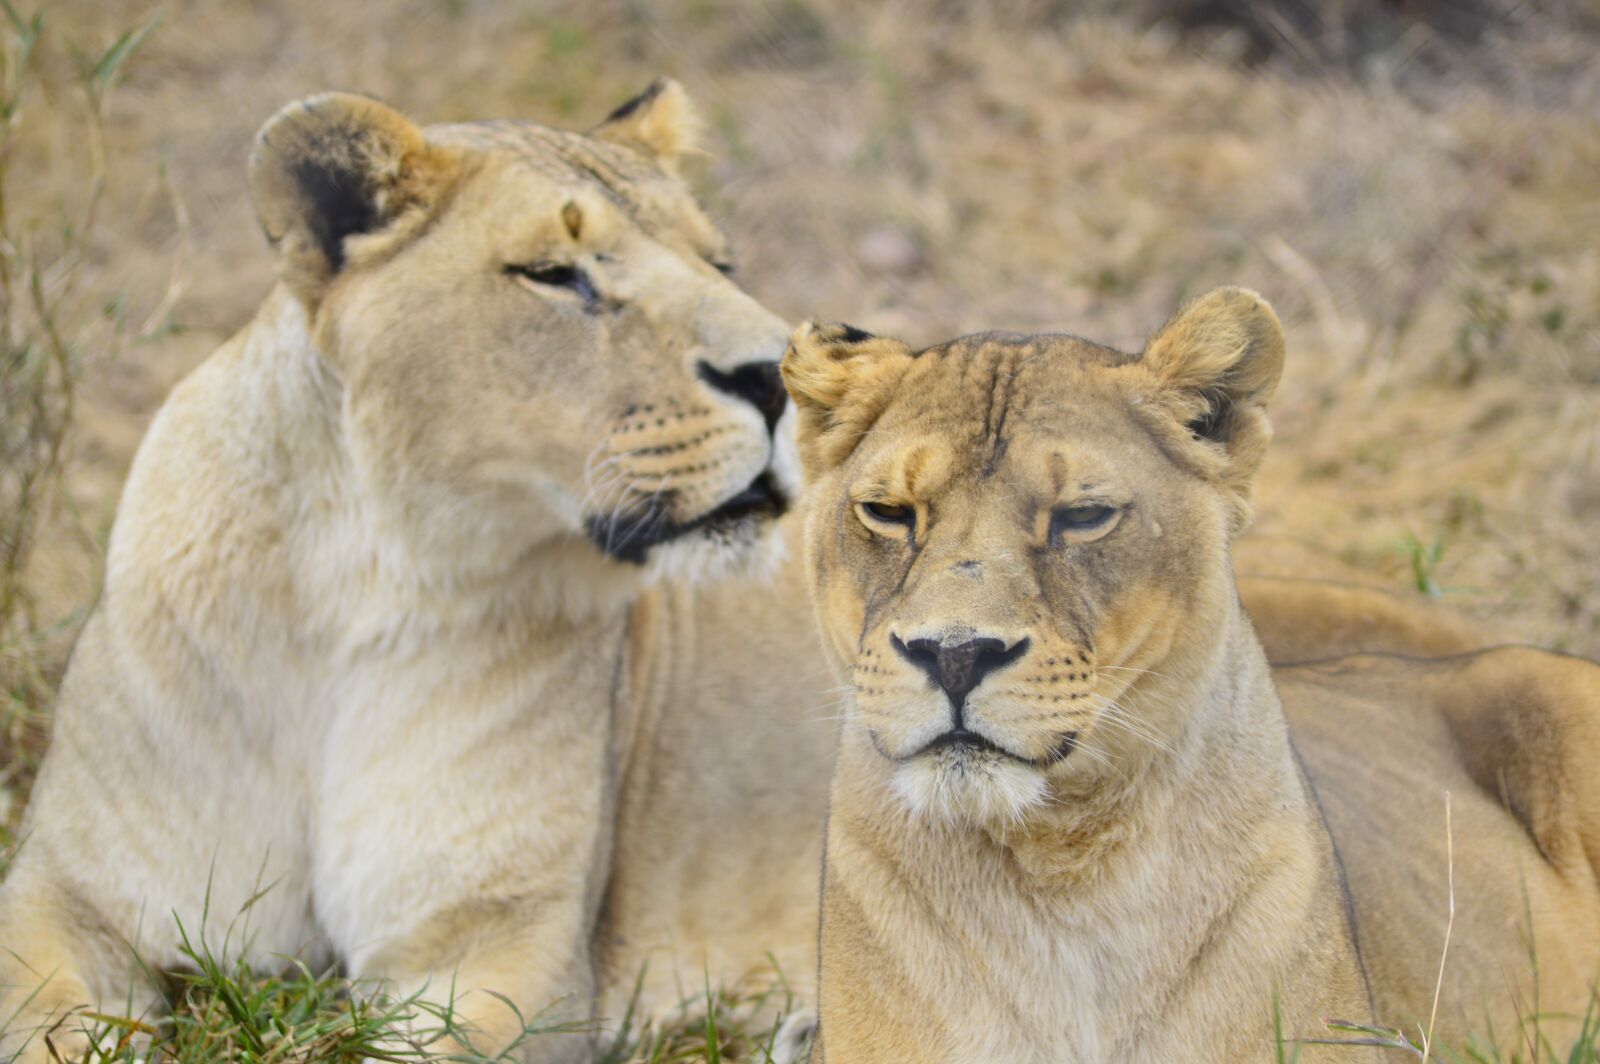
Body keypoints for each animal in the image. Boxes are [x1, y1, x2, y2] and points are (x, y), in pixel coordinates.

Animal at [0, 83, 833, 1063]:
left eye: (720, 261)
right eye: (554, 273)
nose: (781, 377)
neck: (359, 588)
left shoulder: (508, 949)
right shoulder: (61, 896)